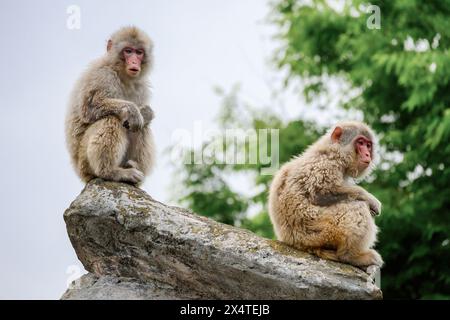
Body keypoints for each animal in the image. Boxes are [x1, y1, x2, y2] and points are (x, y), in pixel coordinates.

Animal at [66, 26, 156, 186]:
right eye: (128, 51)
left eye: (139, 52)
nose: (134, 61)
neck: (122, 75)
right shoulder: (102, 75)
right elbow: (89, 107)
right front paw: (133, 111)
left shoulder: (141, 87)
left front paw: (146, 112)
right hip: (84, 163)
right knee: (111, 119)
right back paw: (110, 172)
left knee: (142, 126)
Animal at [268, 121, 384, 268]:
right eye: (361, 143)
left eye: (368, 145)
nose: (367, 154)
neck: (334, 151)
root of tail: (295, 243)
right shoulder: (325, 164)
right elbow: (320, 193)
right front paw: (371, 199)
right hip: (319, 231)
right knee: (357, 207)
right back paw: (351, 256)